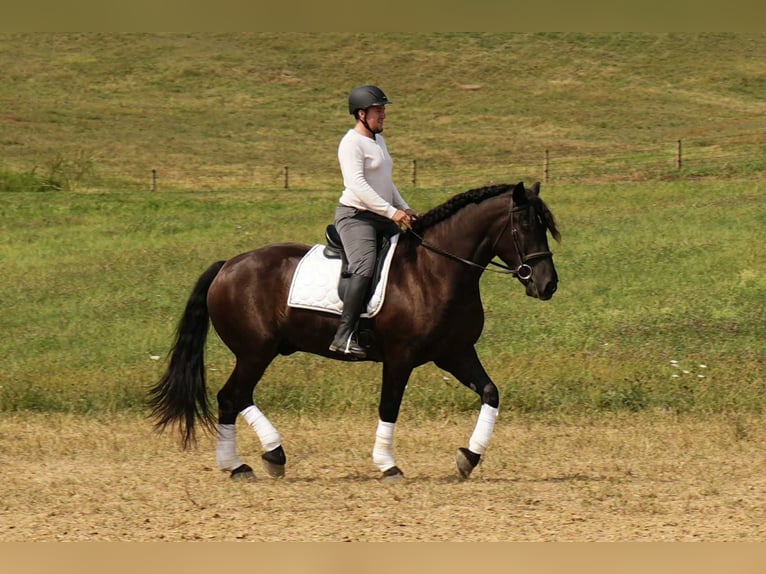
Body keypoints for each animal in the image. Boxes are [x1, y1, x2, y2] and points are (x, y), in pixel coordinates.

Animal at [148, 181, 561, 482]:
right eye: (525, 226)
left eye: (545, 226)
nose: (548, 284)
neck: (436, 270)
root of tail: (228, 265)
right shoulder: (400, 358)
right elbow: (389, 406)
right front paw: (387, 465)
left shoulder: (455, 353)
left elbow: (490, 393)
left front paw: (468, 458)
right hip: (255, 351)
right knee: (232, 396)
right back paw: (250, 461)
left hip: (260, 351)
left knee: (236, 397)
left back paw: (256, 460)